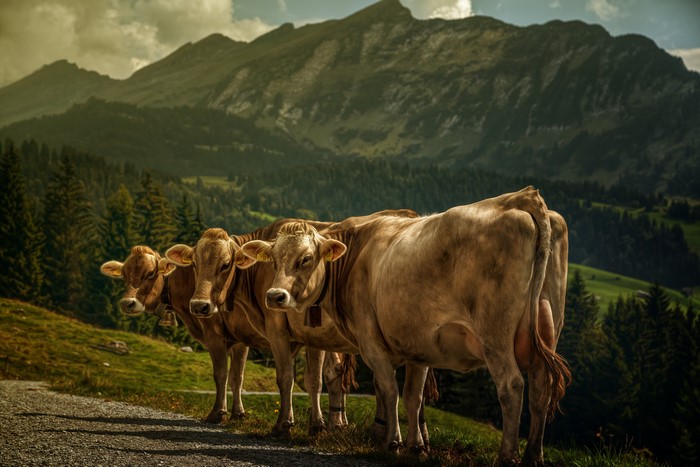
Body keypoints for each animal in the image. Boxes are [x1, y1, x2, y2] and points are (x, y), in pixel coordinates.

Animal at [237, 187, 571, 465]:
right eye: (273, 260)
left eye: (306, 259)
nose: (274, 296)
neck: (356, 256)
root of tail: (522, 197)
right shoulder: (419, 346)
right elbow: (412, 397)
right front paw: (416, 446)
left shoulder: (371, 342)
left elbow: (388, 390)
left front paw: (392, 443)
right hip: (547, 328)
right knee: (541, 387)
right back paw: (533, 456)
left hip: (495, 336)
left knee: (512, 386)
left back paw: (507, 457)